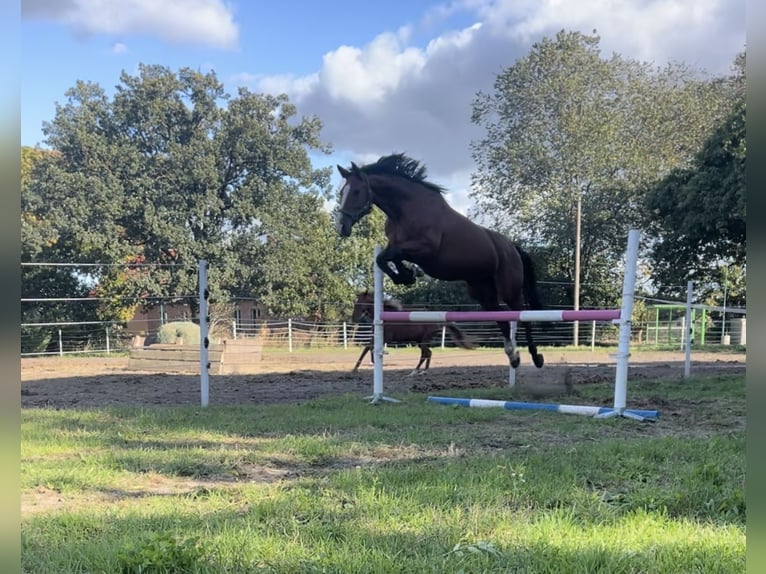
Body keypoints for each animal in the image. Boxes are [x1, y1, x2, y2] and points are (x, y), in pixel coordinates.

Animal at [336, 153, 544, 372]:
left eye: (356, 191)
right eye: (342, 192)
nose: (342, 226)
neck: (406, 210)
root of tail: (513, 247)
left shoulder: (425, 249)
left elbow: (388, 256)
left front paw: (409, 275)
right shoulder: (399, 246)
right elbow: (386, 257)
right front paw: (408, 276)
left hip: (509, 288)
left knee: (522, 314)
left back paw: (535, 356)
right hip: (482, 291)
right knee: (501, 318)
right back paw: (513, 356)